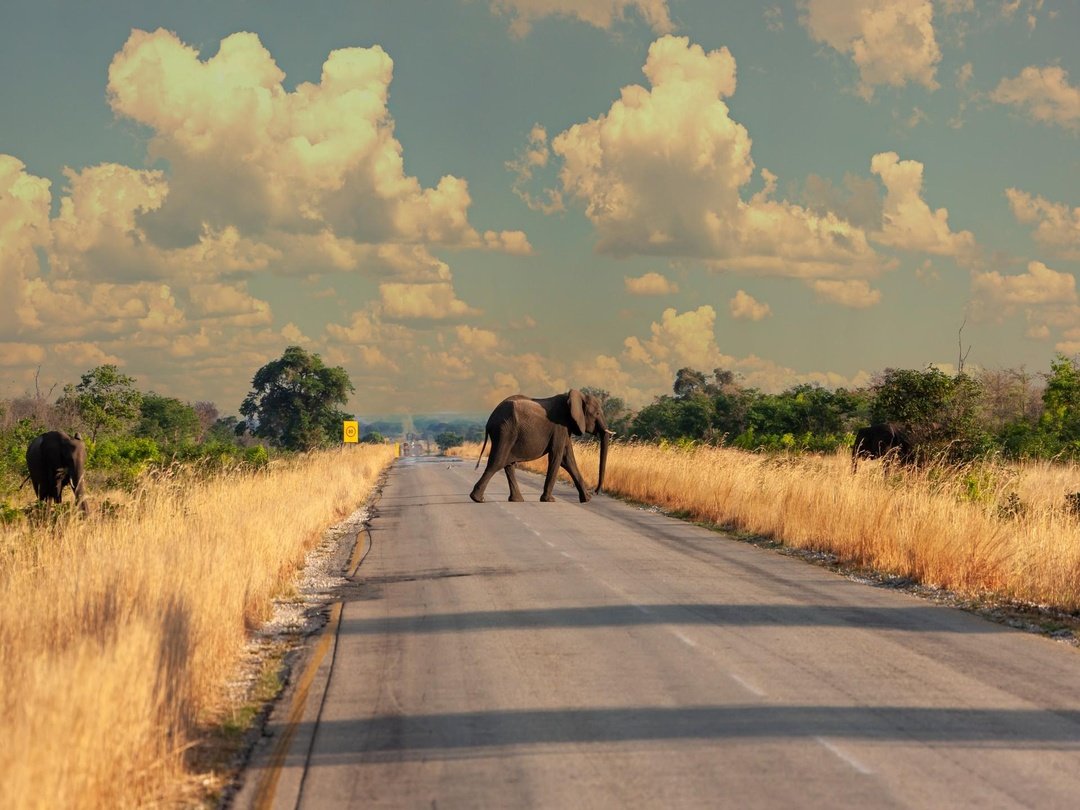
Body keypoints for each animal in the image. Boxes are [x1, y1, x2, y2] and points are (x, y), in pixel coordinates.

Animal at [471, 389, 610, 503]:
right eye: (597, 413)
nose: (596, 491)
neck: (573, 397)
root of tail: (490, 420)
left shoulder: (565, 429)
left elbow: (567, 460)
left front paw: (587, 499)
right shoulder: (560, 427)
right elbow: (557, 457)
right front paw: (549, 500)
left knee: (508, 465)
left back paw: (517, 500)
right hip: (505, 431)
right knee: (497, 462)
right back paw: (478, 499)